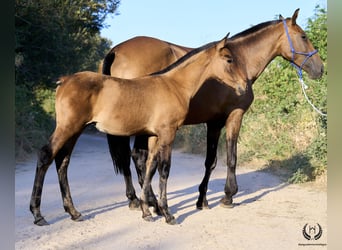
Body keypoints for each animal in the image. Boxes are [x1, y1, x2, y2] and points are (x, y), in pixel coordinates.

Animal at [30, 34, 248, 225]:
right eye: (229, 59)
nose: (244, 86)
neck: (173, 85)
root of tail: (65, 80)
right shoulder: (168, 133)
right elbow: (164, 170)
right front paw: (166, 214)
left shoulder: (153, 135)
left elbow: (150, 167)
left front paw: (147, 211)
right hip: (68, 127)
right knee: (46, 155)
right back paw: (38, 214)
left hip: (75, 130)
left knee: (62, 161)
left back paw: (73, 212)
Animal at [98, 10, 324, 213]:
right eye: (303, 36)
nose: (320, 68)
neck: (241, 61)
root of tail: (116, 50)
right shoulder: (234, 116)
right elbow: (231, 157)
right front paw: (228, 196)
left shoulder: (213, 122)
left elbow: (211, 161)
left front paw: (202, 200)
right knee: (138, 157)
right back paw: (151, 202)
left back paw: (137, 200)